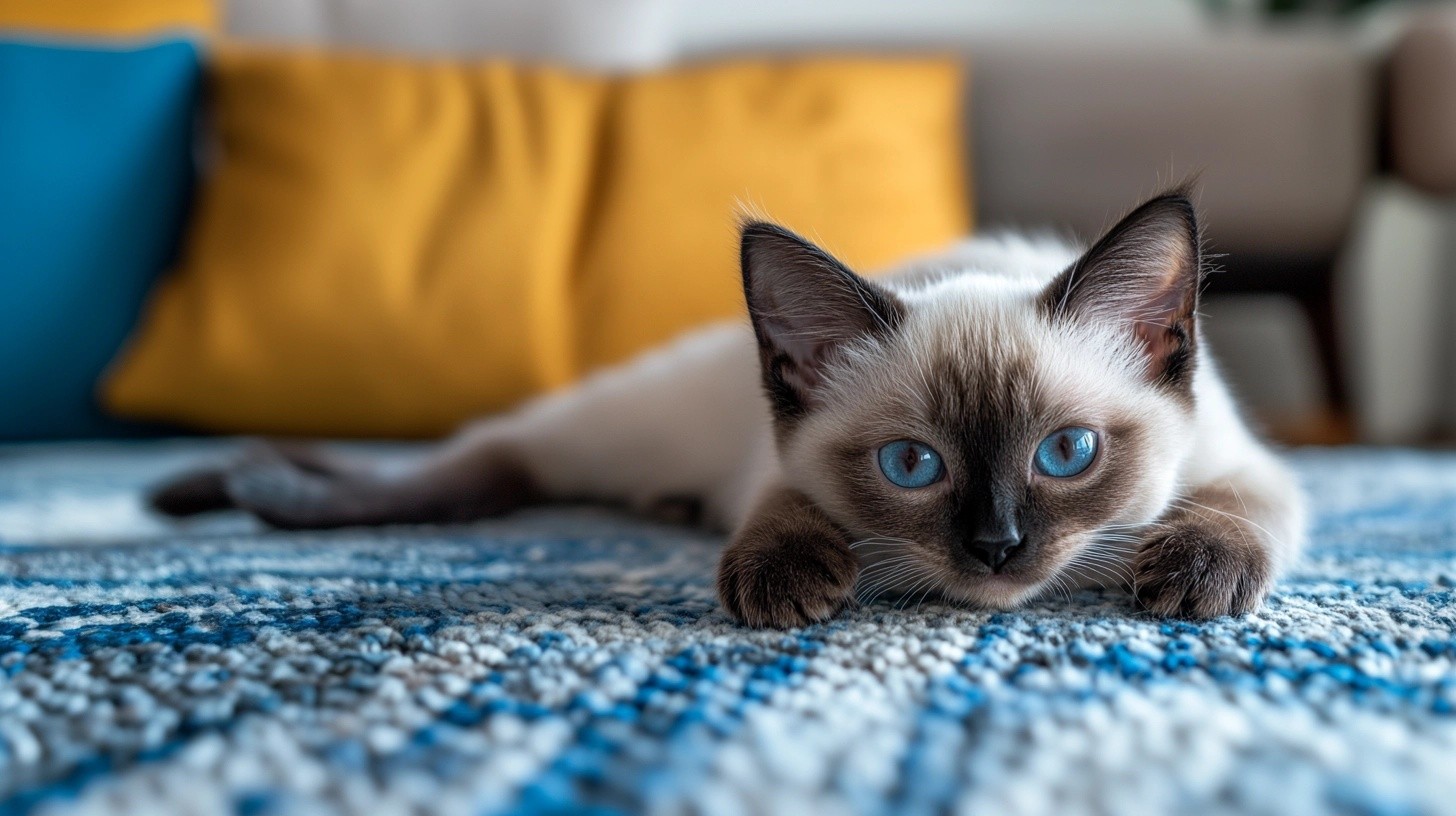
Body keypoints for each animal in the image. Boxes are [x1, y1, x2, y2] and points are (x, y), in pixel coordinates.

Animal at [150, 187, 1310, 626]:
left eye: (1065, 453)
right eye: (912, 467)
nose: (996, 549)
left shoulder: (1245, 465)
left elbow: (1237, 510)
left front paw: (1189, 577)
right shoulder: (774, 473)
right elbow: (779, 513)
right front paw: (786, 585)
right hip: (602, 433)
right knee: (477, 463)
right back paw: (227, 488)